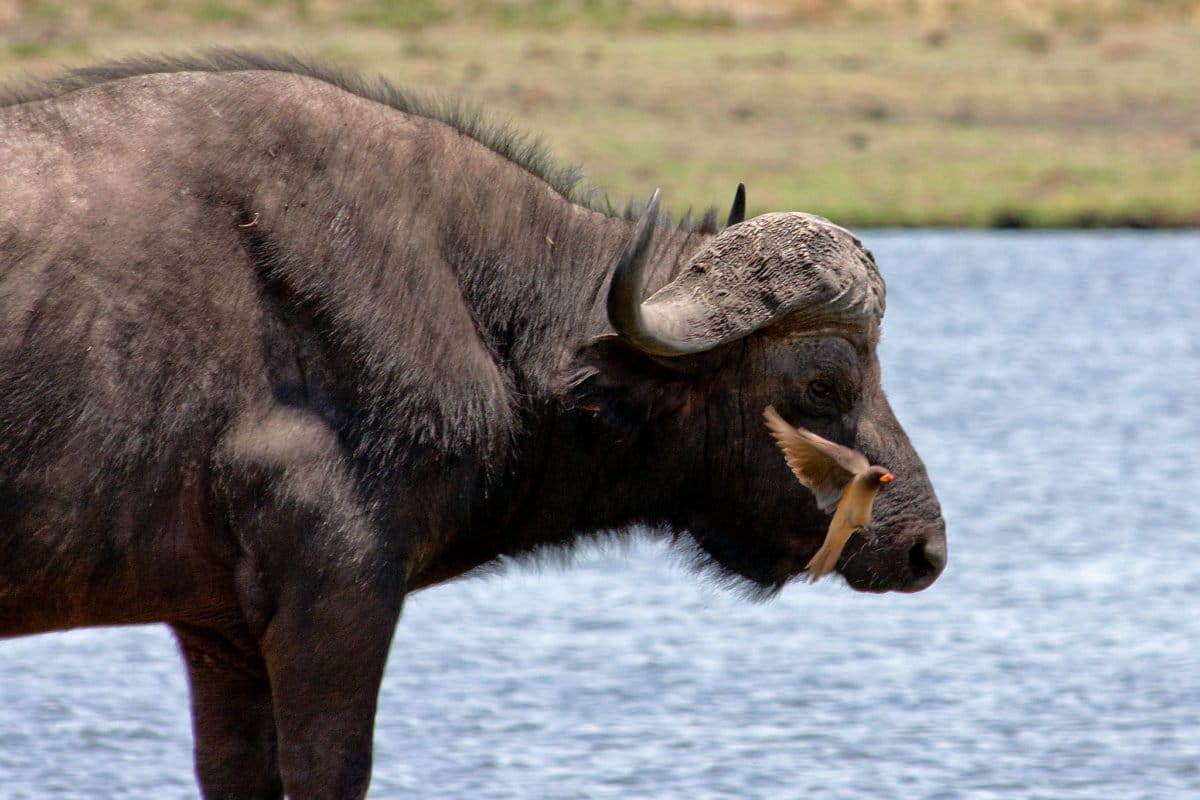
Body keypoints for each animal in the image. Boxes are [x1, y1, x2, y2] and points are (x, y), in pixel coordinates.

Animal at [2, 51, 945, 800]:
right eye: (824, 381)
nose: (923, 548)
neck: (466, 300)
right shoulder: (336, 598)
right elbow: (330, 768)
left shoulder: (218, 635)